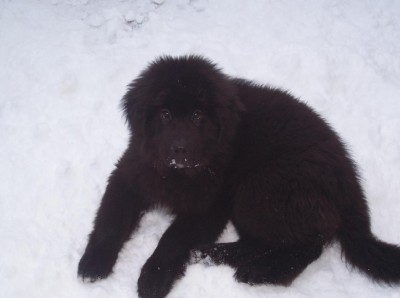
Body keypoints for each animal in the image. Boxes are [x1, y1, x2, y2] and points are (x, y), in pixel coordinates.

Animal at [77, 56, 400, 298]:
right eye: (165, 114)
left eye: (197, 116)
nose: (180, 150)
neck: (177, 173)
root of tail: (349, 178)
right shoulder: (130, 174)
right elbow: (110, 220)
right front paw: (93, 262)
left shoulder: (207, 207)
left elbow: (171, 240)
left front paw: (152, 277)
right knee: (267, 240)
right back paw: (210, 253)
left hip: (261, 188)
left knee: (310, 243)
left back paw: (258, 270)